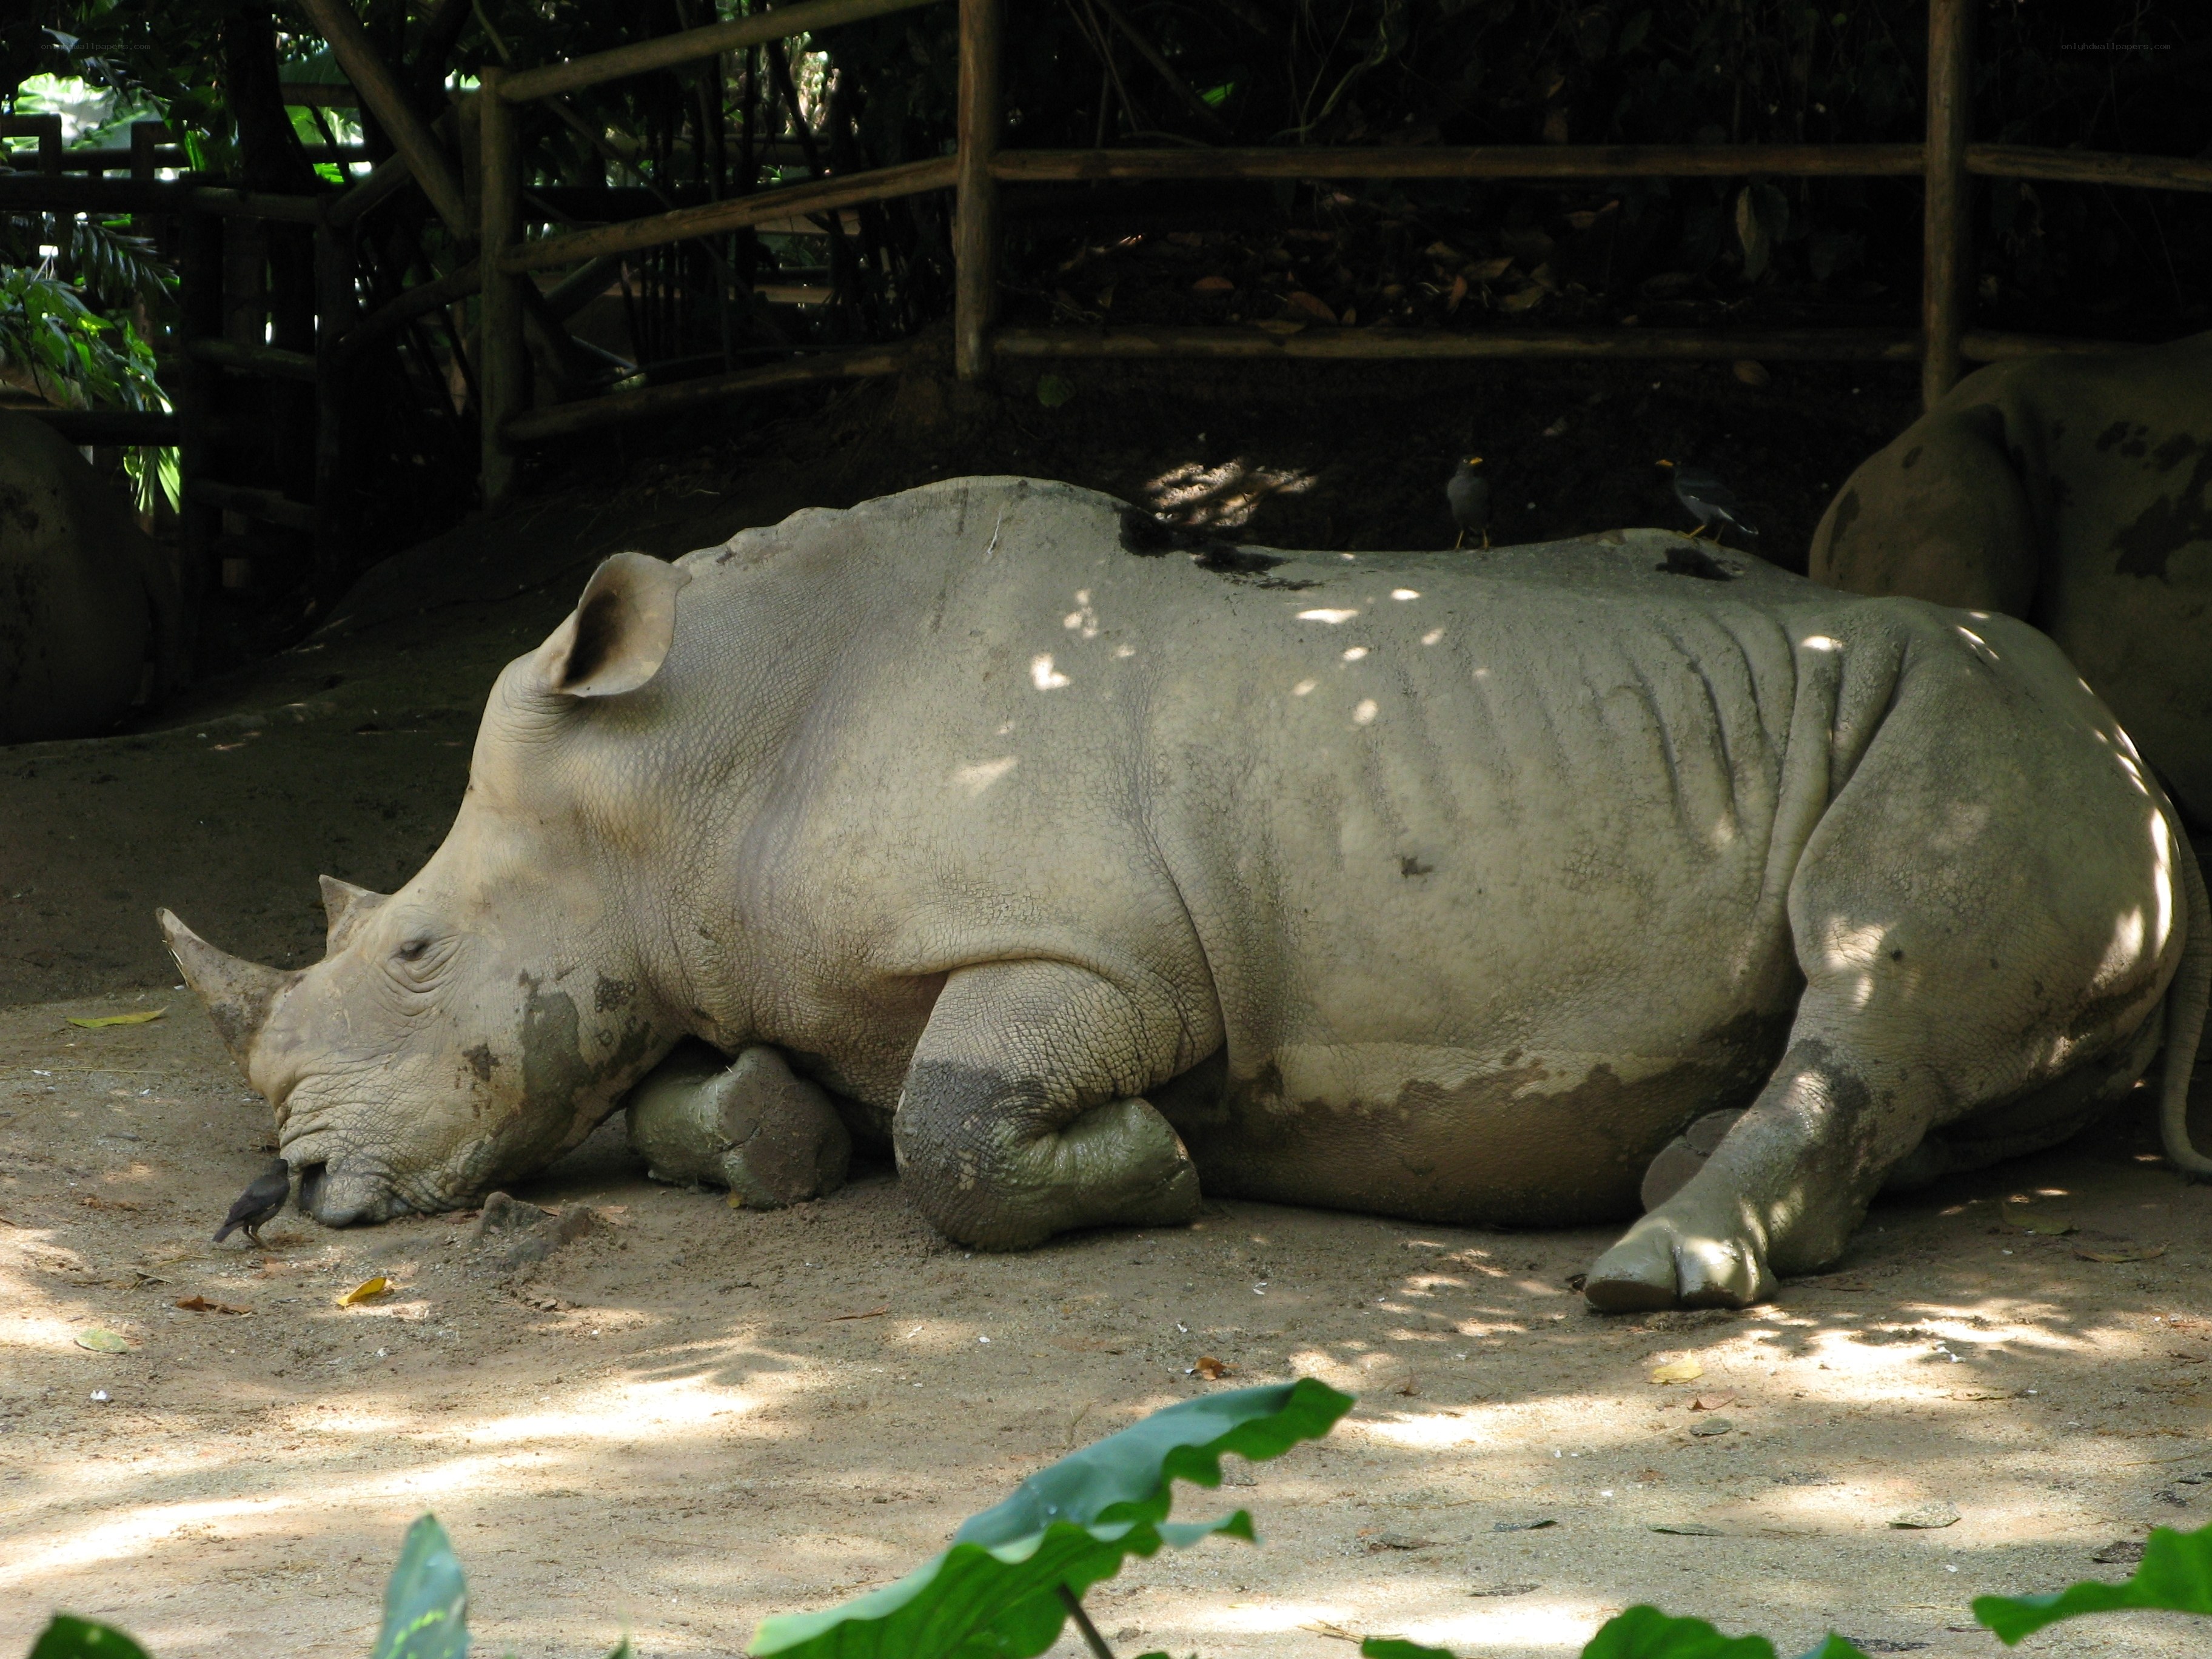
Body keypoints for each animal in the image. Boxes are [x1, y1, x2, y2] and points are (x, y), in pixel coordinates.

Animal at [159, 479, 2210, 1310]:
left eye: (416, 949)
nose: (286, 1190)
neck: (688, 760)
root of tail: (2151, 767)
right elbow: (718, 1092)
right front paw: (770, 1138)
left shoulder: (1102, 955)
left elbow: (956, 1130)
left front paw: (1156, 1165)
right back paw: (1675, 1170)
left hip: (1981, 725)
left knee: (1881, 959)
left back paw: (1651, 1269)